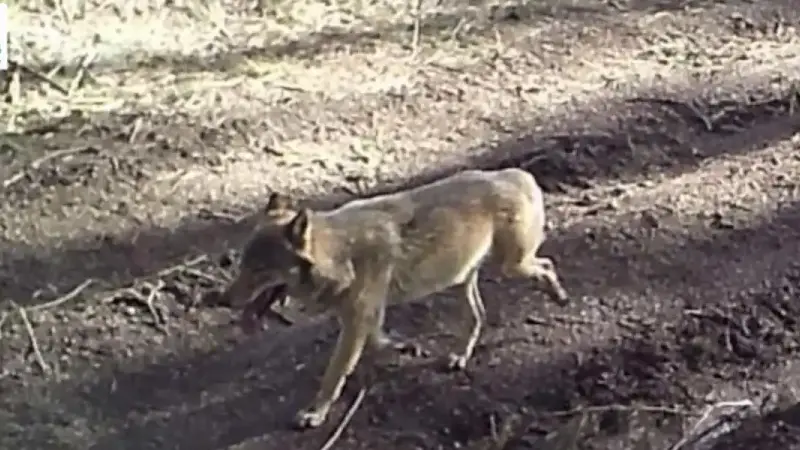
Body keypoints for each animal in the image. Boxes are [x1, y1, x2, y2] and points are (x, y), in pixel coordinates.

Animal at [219, 168, 569, 429]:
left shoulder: (357, 320)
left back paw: (559, 295)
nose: (222, 300)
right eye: (243, 264)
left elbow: (334, 374)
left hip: (511, 267)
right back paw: (458, 356)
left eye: (260, 270)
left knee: (547, 265)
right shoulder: (363, 316)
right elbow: (379, 339)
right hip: (461, 277)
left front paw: (315, 412)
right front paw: (404, 347)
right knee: (478, 316)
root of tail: (516, 174)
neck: (341, 256)